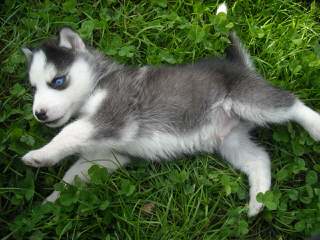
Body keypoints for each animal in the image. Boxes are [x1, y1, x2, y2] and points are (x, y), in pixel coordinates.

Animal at [21, 3, 320, 218]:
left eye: (58, 81)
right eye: (33, 88)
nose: (39, 114)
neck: (98, 83)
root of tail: (238, 66)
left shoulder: (114, 115)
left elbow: (69, 132)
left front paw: (39, 155)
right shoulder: (107, 155)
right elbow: (72, 176)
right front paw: (49, 204)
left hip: (251, 100)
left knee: (291, 103)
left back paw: (315, 126)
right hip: (231, 141)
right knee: (259, 159)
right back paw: (258, 201)